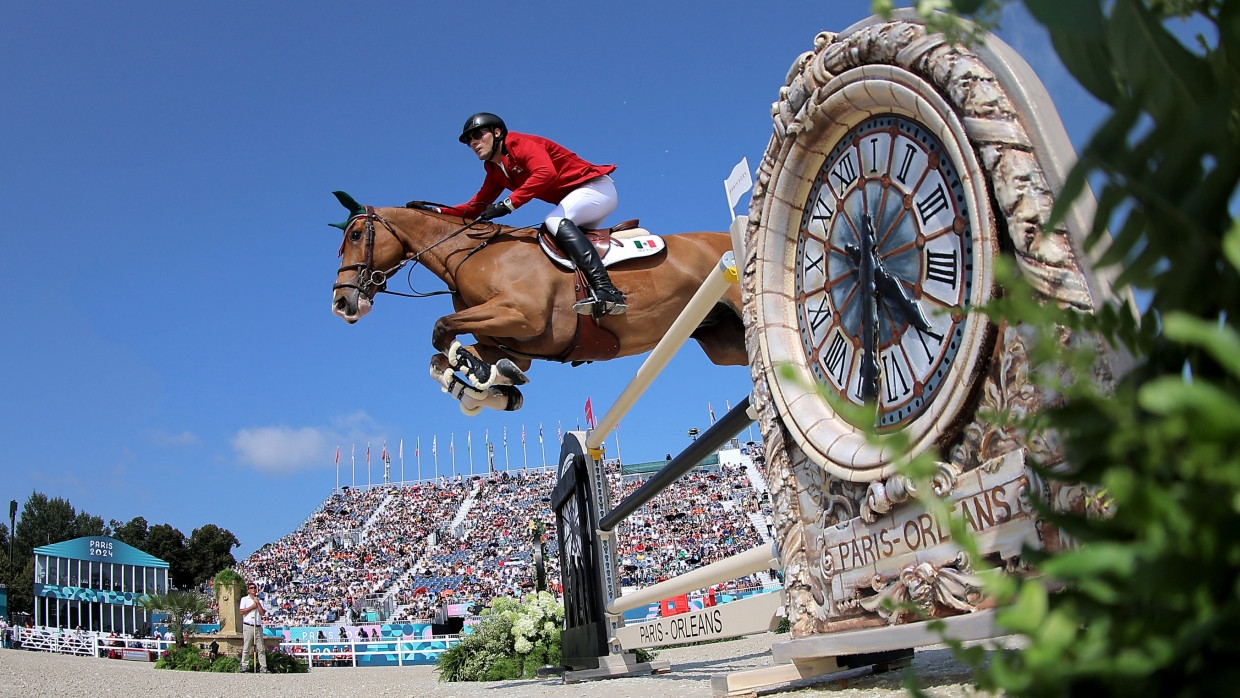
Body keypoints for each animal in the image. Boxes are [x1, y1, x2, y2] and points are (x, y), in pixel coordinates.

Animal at [324, 189, 744, 414]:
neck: (471, 255)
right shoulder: (511, 342)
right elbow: (441, 360)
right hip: (723, 341)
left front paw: (482, 375)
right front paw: (490, 389)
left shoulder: (523, 316)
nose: (342, 304)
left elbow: (441, 330)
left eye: (357, 235)